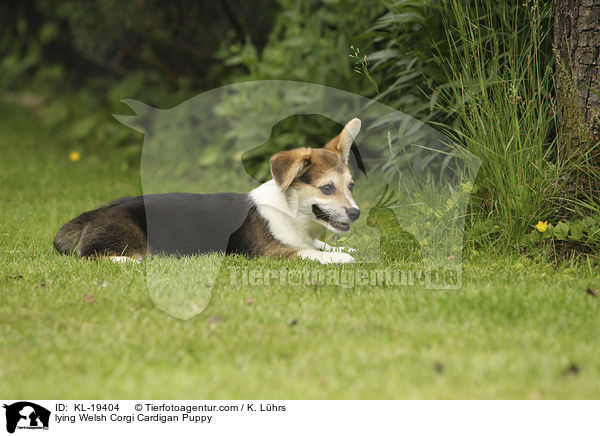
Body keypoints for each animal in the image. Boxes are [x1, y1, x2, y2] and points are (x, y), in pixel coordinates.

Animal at [56, 117, 364, 264]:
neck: (293, 214)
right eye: (327, 188)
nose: (356, 213)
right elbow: (313, 253)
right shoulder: (275, 253)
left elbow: (322, 245)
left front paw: (346, 247)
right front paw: (343, 257)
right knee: (94, 255)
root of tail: (94, 213)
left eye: (351, 186)